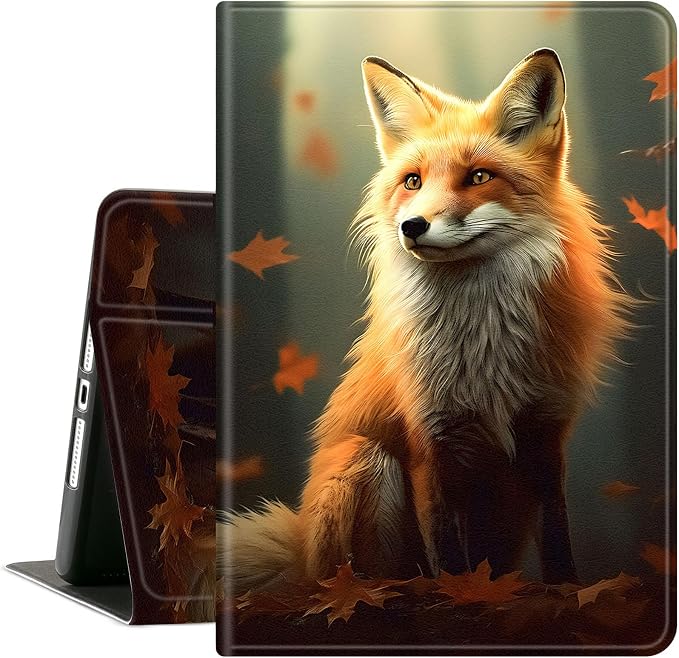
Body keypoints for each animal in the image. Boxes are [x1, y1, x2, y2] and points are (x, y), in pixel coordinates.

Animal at [219, 48, 630, 594]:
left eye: (479, 177)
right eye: (412, 181)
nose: (411, 226)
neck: (483, 351)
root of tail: (303, 557)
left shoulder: (543, 433)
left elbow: (558, 540)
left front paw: (565, 591)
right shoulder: (429, 440)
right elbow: (448, 553)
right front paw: (462, 596)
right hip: (365, 461)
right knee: (375, 576)